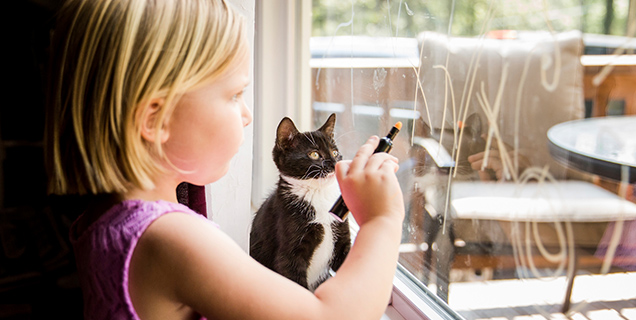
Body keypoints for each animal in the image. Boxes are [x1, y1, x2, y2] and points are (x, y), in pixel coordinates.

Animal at [248, 114, 350, 292]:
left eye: (335, 152)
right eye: (314, 154)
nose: (334, 163)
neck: (318, 194)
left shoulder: (342, 233)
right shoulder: (289, 256)